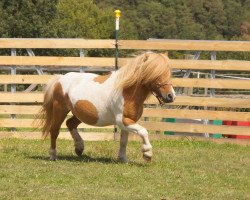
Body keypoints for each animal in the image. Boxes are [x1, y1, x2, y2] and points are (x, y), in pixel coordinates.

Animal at [38, 52, 176, 162]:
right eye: (156, 73)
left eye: (168, 73)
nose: (171, 96)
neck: (127, 91)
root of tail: (60, 79)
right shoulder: (122, 120)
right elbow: (143, 131)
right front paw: (147, 154)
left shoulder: (129, 121)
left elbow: (123, 141)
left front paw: (123, 159)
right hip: (60, 110)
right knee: (54, 130)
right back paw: (53, 155)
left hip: (81, 113)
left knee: (70, 123)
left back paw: (79, 148)